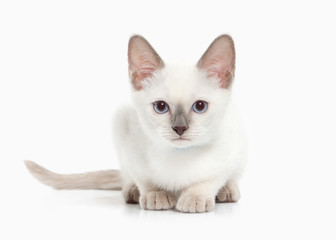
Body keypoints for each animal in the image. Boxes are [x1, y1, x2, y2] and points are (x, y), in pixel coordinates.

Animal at [25, 33, 247, 212]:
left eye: (200, 106)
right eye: (160, 107)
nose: (179, 128)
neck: (178, 155)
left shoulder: (230, 150)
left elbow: (210, 179)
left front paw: (194, 198)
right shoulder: (128, 144)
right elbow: (145, 178)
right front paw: (155, 195)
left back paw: (227, 191)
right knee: (127, 177)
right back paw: (132, 191)